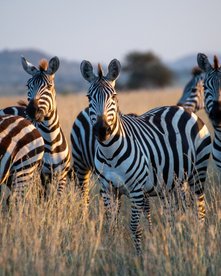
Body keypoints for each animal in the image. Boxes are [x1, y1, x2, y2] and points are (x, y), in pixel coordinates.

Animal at [0, 56, 70, 196]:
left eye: (49, 86)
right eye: (28, 85)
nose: (32, 110)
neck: (50, 139)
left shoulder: (61, 177)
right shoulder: (38, 177)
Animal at [80, 58, 212, 254]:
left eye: (114, 97)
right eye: (89, 98)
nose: (102, 130)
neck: (109, 153)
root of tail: (184, 110)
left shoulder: (135, 189)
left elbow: (134, 226)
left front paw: (139, 256)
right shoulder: (108, 189)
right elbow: (111, 225)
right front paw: (111, 251)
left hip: (198, 173)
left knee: (200, 209)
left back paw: (200, 240)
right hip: (174, 182)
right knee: (176, 212)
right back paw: (176, 240)